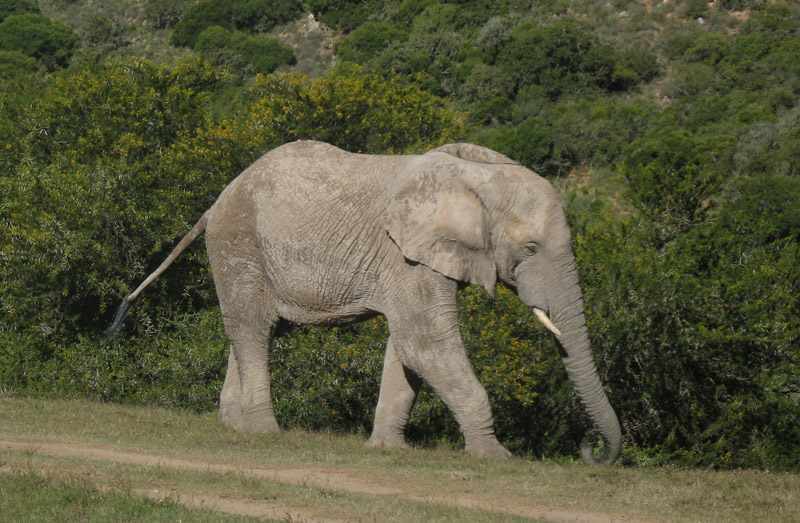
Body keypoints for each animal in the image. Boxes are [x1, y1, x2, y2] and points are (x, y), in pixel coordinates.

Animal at [105, 140, 622, 464]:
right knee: (254, 332)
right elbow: (425, 343)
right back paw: (265, 433)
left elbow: (406, 346)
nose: (591, 450)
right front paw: (496, 457)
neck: (478, 179)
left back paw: (235, 427)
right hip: (238, 243)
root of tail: (215, 203)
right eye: (530, 249)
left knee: (253, 332)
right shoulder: (406, 255)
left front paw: (388, 451)